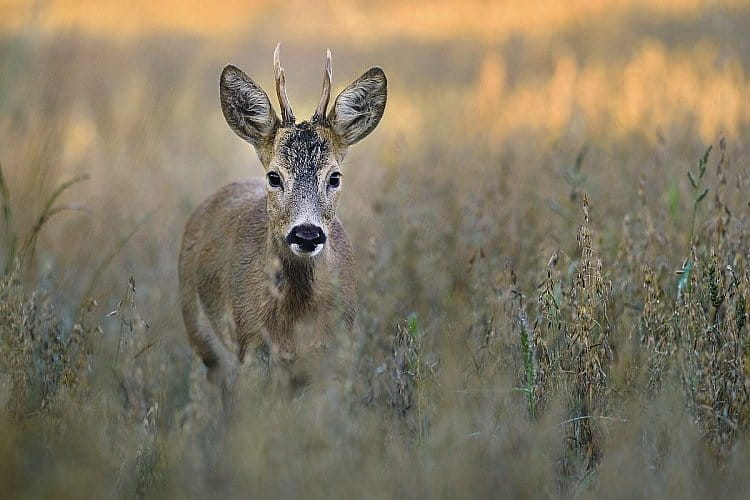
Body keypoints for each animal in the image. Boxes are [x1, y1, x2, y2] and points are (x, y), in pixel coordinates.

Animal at [178, 45, 384, 400]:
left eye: (335, 177)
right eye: (274, 176)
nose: (307, 234)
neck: (295, 320)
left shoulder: (338, 351)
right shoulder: (251, 347)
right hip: (201, 336)